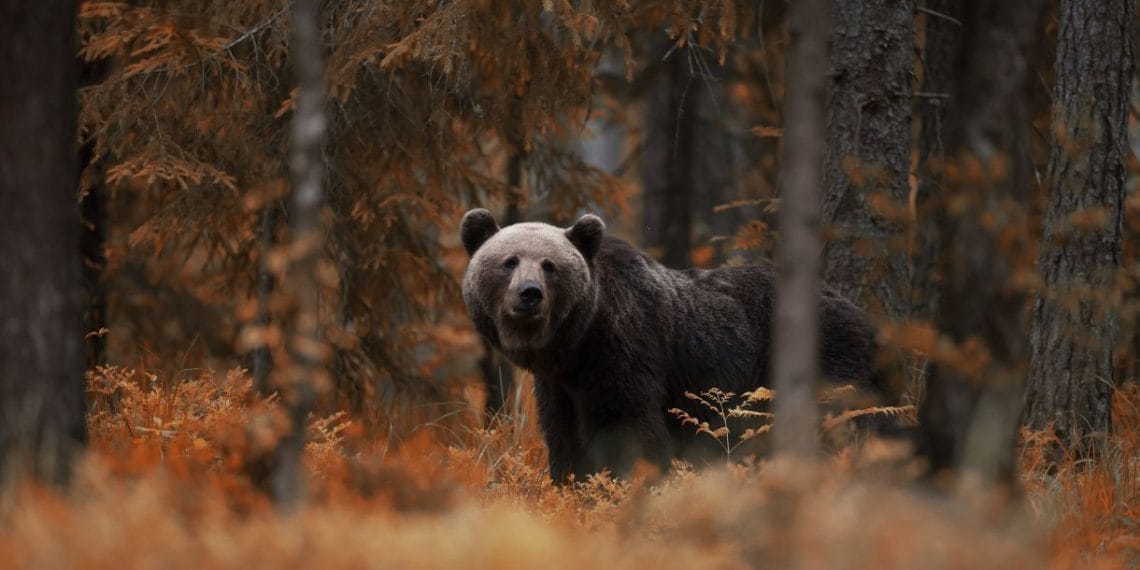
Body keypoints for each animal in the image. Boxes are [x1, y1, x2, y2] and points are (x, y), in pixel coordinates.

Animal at [460, 208, 891, 483]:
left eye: (550, 266)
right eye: (510, 261)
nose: (530, 294)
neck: (576, 343)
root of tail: (863, 315)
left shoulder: (623, 347)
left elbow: (626, 425)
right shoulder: (559, 383)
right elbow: (563, 433)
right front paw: (571, 484)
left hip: (825, 356)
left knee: (837, 422)